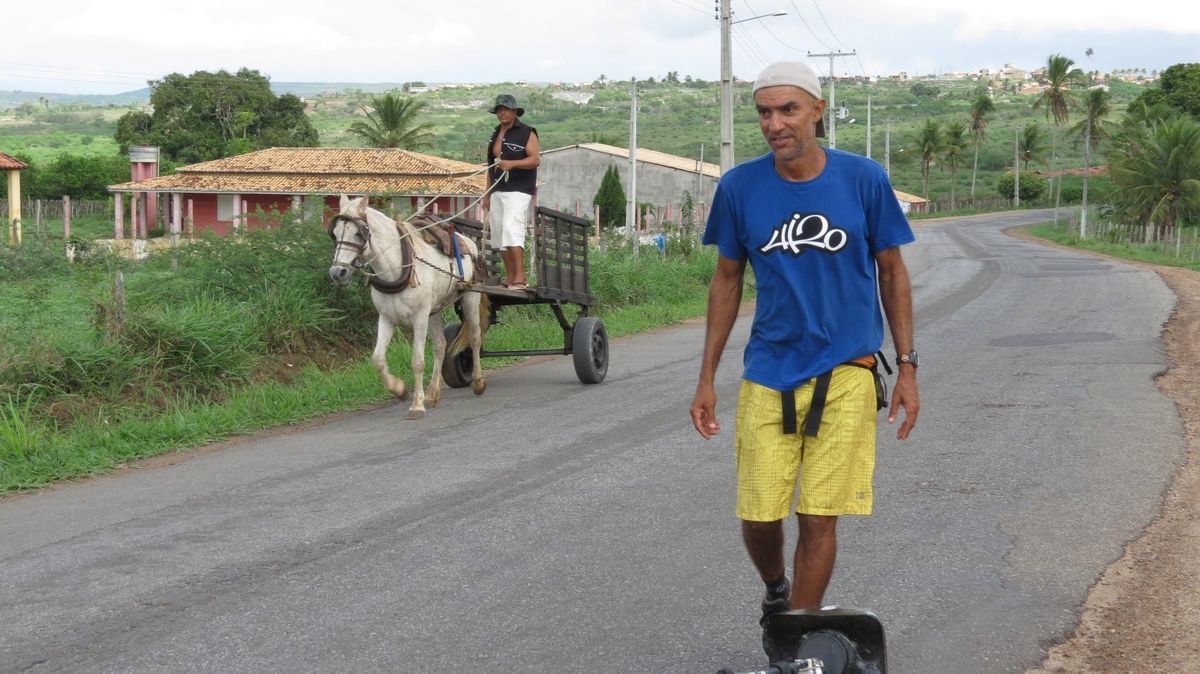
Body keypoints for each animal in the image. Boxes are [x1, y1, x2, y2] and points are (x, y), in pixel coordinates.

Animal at [328, 191, 487, 417]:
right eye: (335, 234)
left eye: (358, 234)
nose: (337, 272)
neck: (398, 266)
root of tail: (469, 242)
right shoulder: (386, 318)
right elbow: (377, 359)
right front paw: (399, 390)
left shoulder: (419, 318)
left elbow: (417, 361)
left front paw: (416, 405)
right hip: (435, 311)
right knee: (441, 346)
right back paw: (432, 394)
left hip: (470, 298)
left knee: (474, 338)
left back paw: (478, 382)